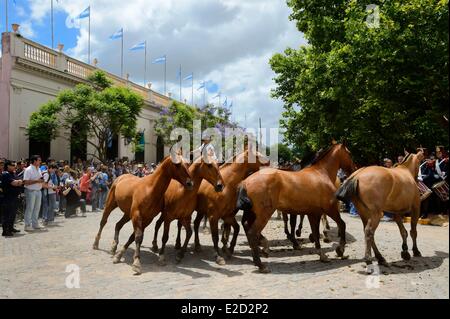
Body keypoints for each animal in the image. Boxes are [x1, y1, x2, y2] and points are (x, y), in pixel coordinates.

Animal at [236, 144, 356, 274]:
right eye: (349, 153)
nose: (354, 169)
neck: (321, 174)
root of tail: (246, 181)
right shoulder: (330, 209)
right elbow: (342, 225)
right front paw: (340, 250)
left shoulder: (313, 213)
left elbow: (315, 232)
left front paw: (322, 255)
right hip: (264, 214)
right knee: (252, 232)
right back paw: (261, 264)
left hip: (251, 213)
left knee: (246, 227)